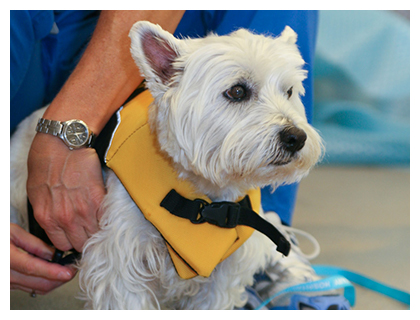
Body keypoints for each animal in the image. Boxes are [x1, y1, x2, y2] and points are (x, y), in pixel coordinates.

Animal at [10, 20, 324, 310]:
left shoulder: (223, 276)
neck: (207, 195)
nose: (296, 138)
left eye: (289, 91)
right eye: (237, 91)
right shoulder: (120, 262)